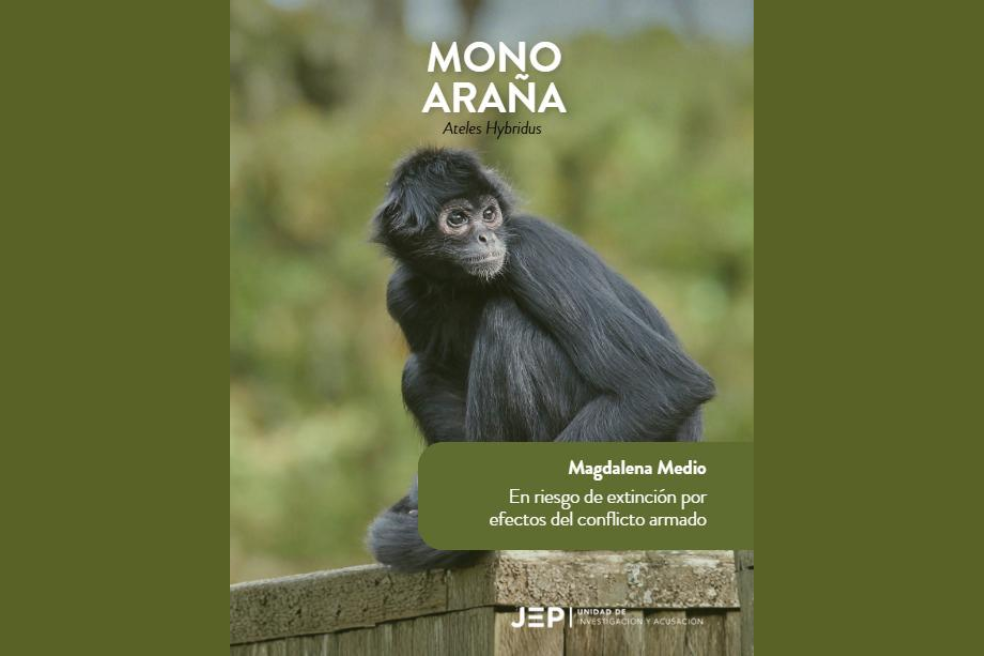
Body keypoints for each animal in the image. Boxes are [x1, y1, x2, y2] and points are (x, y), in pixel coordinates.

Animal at [366, 148, 714, 571]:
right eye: (457, 219)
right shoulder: (401, 293)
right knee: (419, 372)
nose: (486, 236)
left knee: (506, 322)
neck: (463, 286)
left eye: (489, 214)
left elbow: (664, 386)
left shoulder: (530, 248)